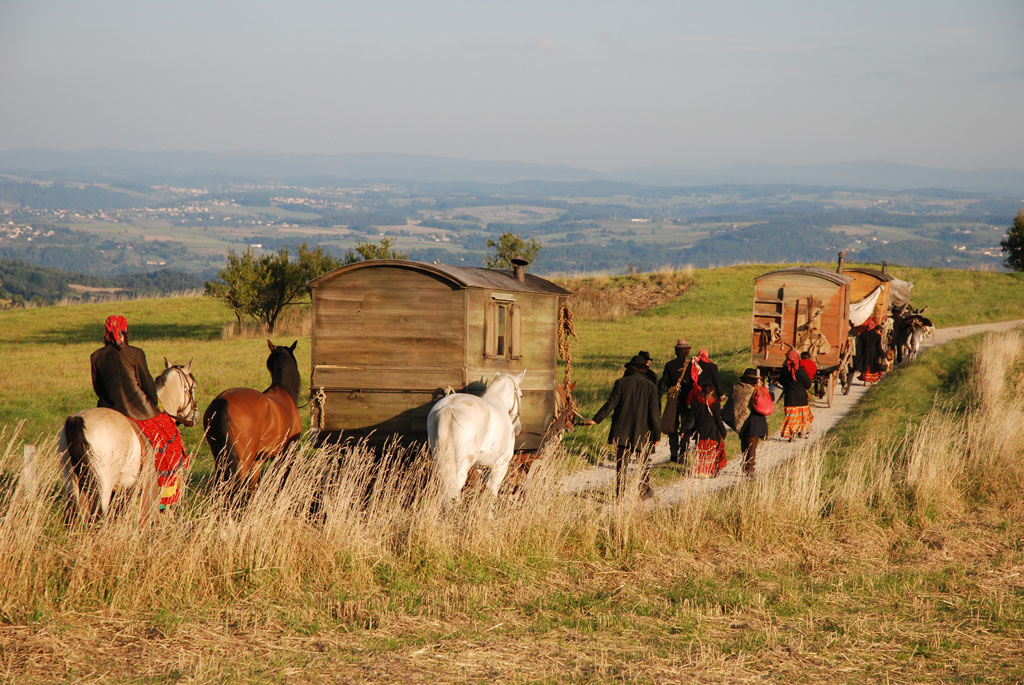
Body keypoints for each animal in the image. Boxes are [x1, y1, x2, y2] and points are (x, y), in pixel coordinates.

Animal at [202, 339, 299, 499]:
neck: (284, 392)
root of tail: (222, 400)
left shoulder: (257, 462)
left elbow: (253, 489)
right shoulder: (287, 454)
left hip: (221, 460)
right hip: (241, 463)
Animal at [425, 370, 524, 499]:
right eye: (521, 395)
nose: (517, 429)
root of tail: (448, 407)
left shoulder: (481, 467)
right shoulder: (501, 464)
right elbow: (492, 492)